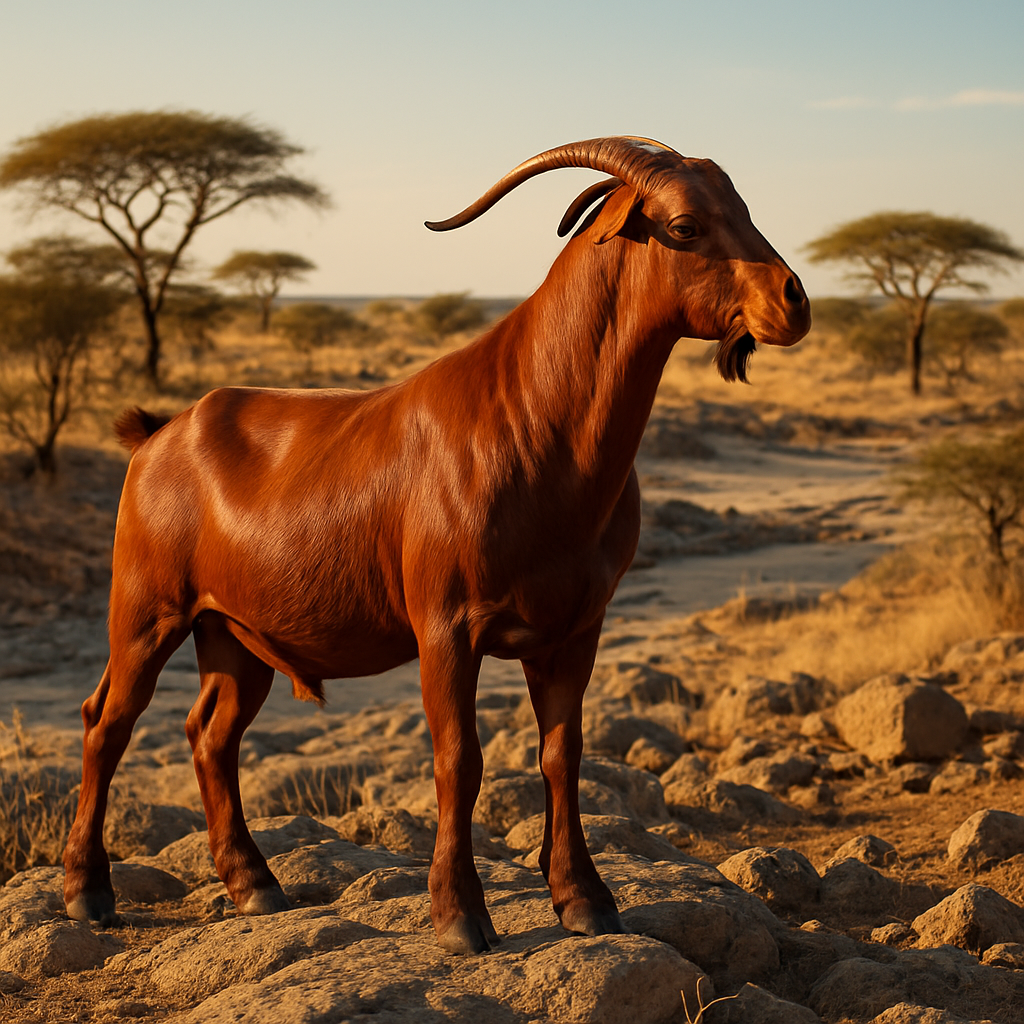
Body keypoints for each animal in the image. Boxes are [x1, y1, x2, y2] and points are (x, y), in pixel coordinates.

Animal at [63, 137, 810, 954]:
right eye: (684, 227)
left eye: (742, 207)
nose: (794, 301)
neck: (537, 421)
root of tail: (158, 433)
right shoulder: (447, 629)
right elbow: (460, 759)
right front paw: (459, 915)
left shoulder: (576, 629)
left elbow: (563, 754)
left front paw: (584, 898)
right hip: (147, 612)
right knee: (108, 722)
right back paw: (87, 893)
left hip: (231, 632)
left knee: (211, 734)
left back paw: (255, 885)